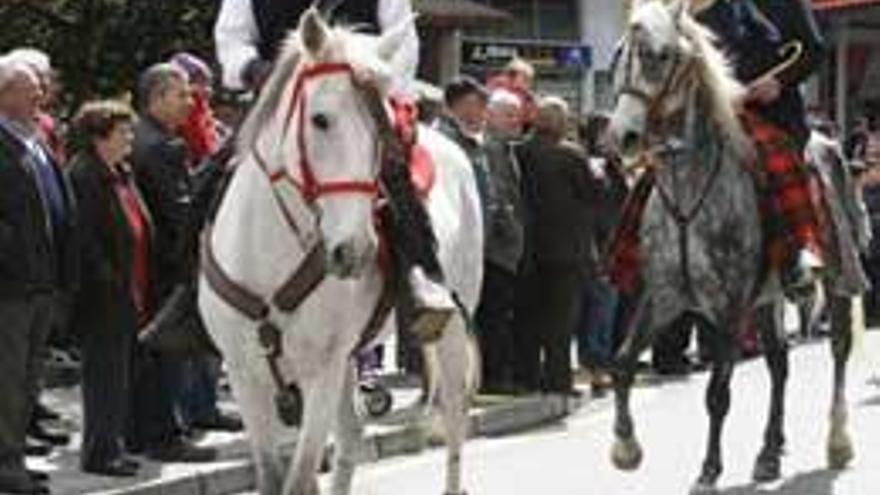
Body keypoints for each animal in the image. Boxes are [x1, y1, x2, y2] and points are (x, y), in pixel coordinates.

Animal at [198, 10, 482, 495]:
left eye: (382, 131)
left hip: (451, 327)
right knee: (351, 438)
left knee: (455, 416)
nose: (355, 250)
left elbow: (299, 478)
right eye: (320, 119)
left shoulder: (322, 370)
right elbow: (274, 476)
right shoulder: (244, 373)